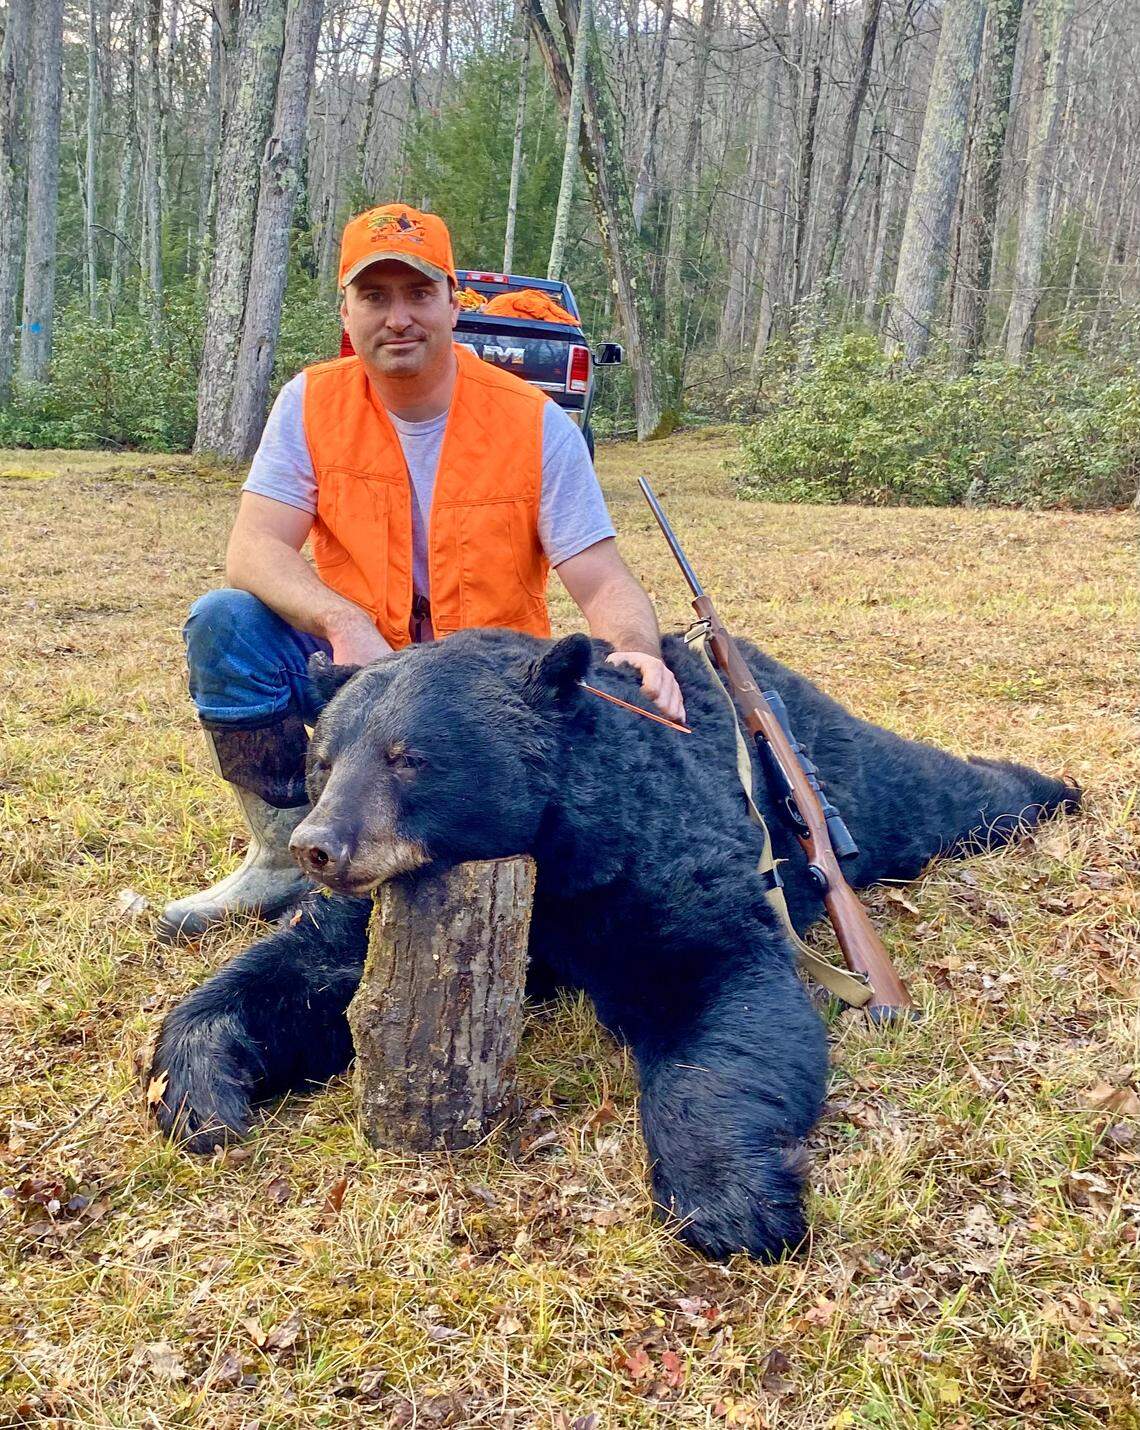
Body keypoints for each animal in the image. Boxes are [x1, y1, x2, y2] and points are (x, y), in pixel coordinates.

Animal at [150, 629, 1079, 1261]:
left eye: (407, 757)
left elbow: (717, 986)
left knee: (934, 793)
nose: (318, 845)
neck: (552, 857)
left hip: (840, 776)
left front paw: (734, 1200)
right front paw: (199, 1092)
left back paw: (1054, 788)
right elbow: (298, 974)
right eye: (324, 760)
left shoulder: (656, 860)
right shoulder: (379, 912)